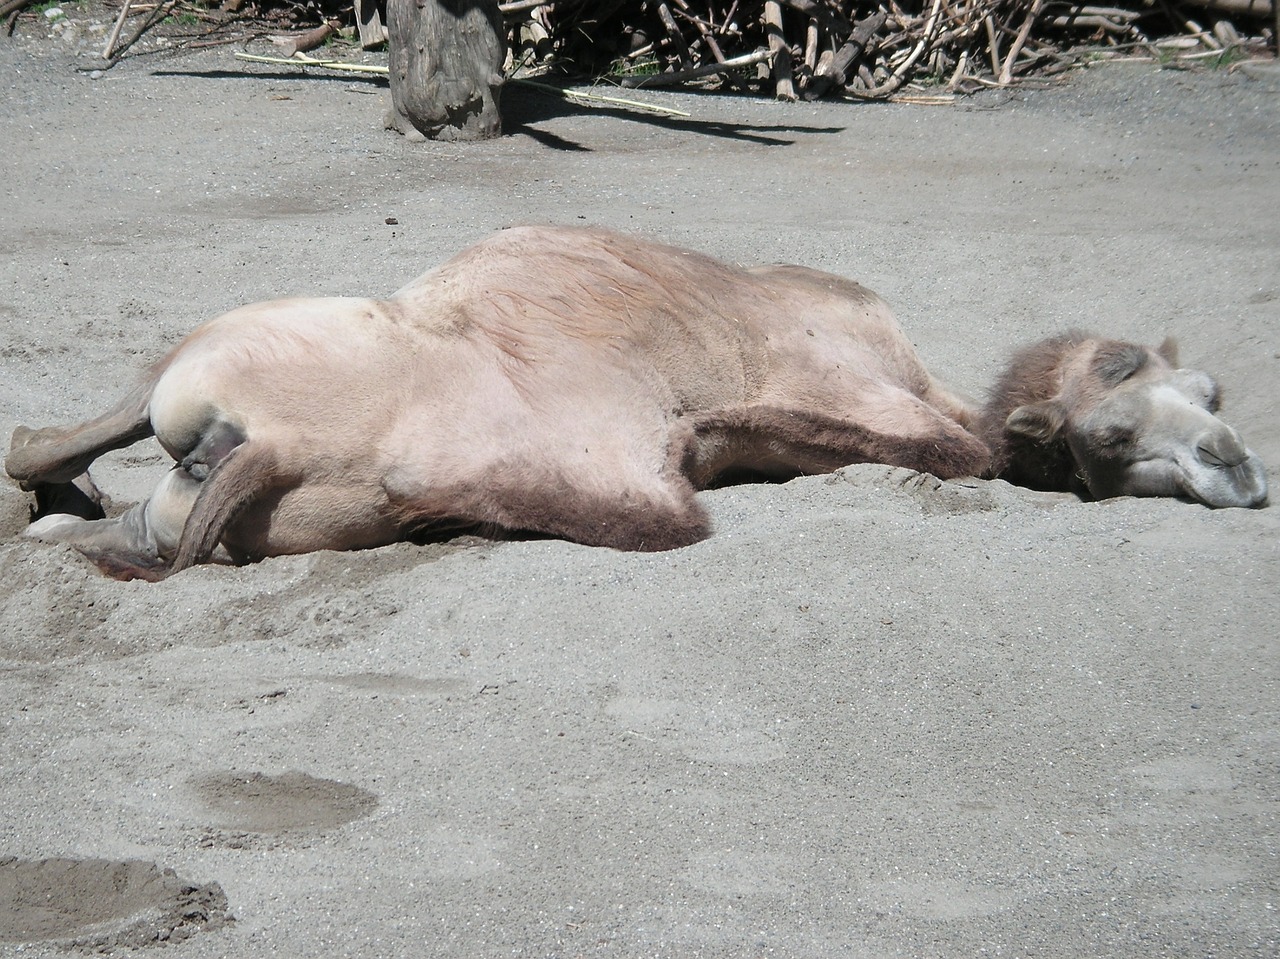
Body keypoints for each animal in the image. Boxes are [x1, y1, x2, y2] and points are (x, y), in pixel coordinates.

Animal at [2, 227, 1269, 578]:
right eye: (1116, 428)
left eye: (1211, 389)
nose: (1236, 463)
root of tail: (261, 446)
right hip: (214, 351)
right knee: (80, 424)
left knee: (117, 506)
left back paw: (68, 519)